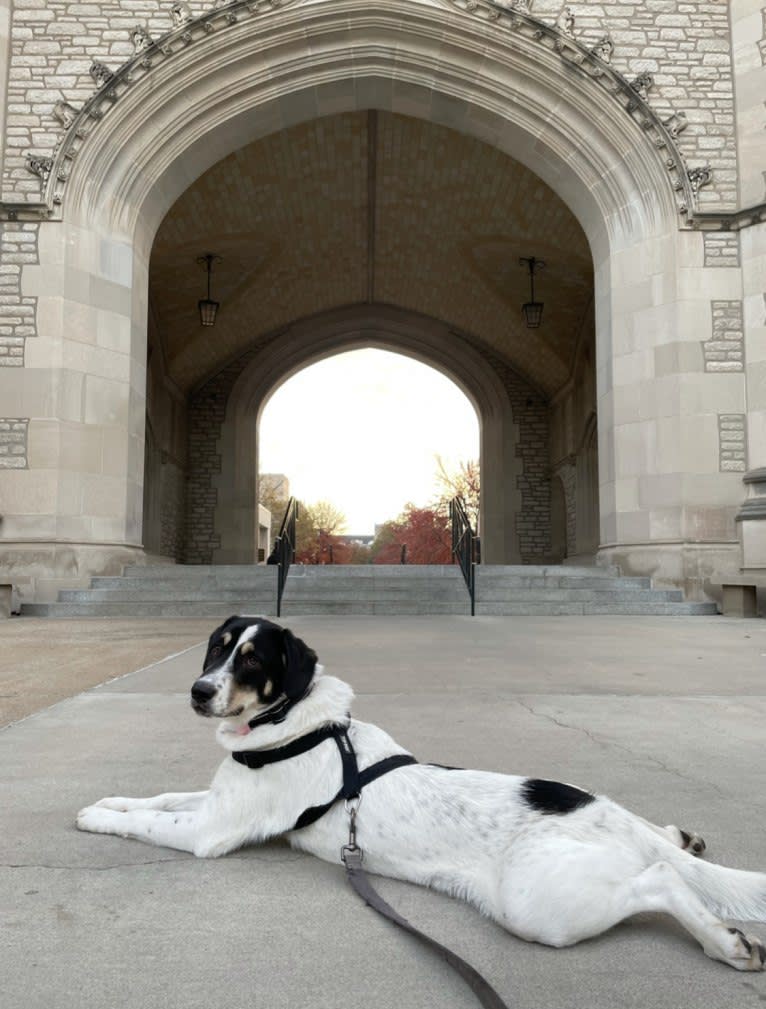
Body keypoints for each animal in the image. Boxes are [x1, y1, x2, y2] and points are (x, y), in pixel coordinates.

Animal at [79, 613, 766, 968]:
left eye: (251, 661)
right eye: (216, 649)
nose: (198, 691)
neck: (291, 723)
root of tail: (612, 824)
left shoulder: (211, 831)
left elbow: (149, 821)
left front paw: (94, 818)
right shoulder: (214, 803)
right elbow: (158, 799)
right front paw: (108, 799)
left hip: (539, 904)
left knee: (662, 880)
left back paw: (725, 942)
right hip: (593, 821)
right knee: (666, 850)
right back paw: (684, 841)